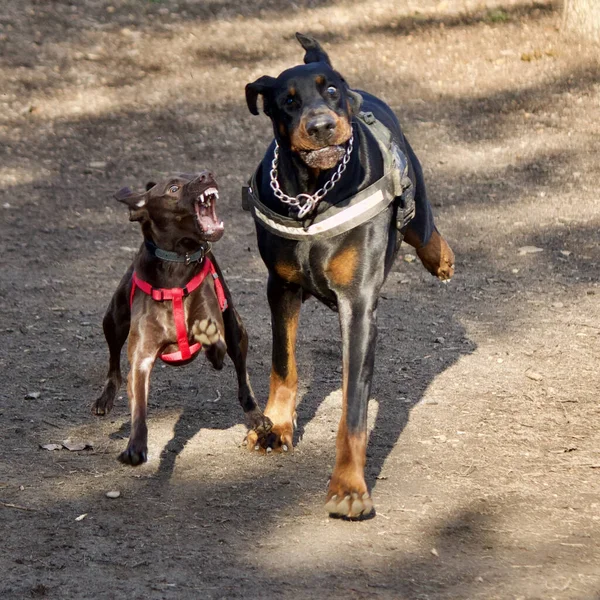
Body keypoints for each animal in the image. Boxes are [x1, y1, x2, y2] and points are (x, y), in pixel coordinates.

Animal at [93, 171, 268, 466]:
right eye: (173, 188)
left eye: (194, 174)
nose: (206, 175)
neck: (176, 267)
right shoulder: (142, 357)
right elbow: (138, 402)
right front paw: (135, 445)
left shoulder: (217, 326)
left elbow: (216, 348)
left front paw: (207, 339)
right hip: (113, 319)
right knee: (114, 365)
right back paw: (105, 399)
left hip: (237, 329)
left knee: (243, 378)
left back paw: (256, 415)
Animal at [244, 35, 454, 516]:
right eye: (288, 101)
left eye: (331, 90)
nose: (321, 125)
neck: (313, 193)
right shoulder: (281, 287)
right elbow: (283, 364)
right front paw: (275, 427)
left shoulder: (357, 304)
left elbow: (353, 410)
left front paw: (349, 486)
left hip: (417, 209)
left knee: (423, 229)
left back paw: (441, 259)